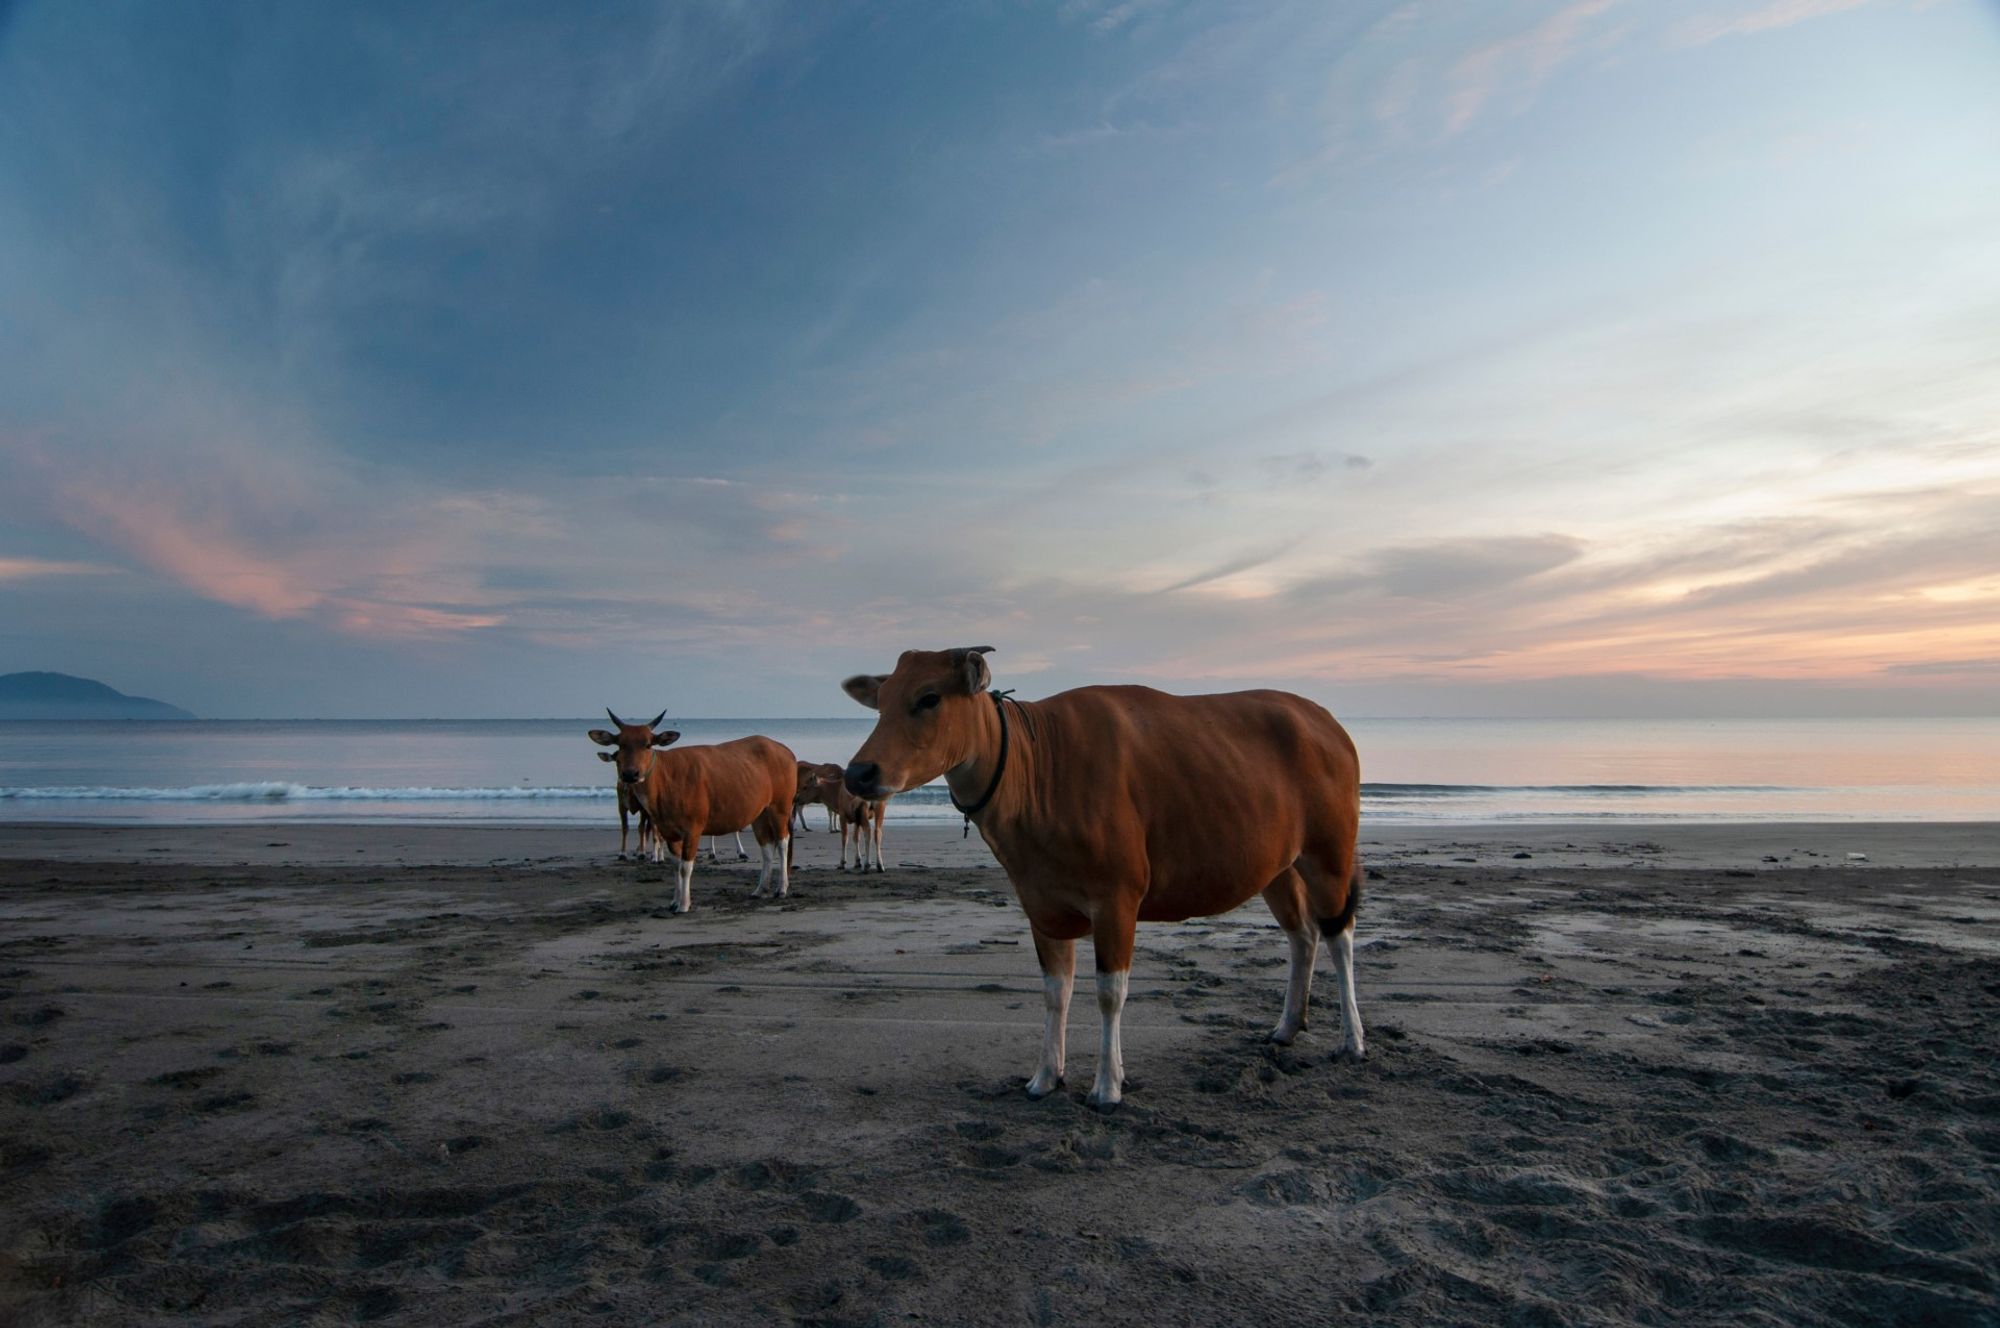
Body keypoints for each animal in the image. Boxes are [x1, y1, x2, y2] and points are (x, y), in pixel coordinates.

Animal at [584, 704, 796, 912]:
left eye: (648, 744)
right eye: (620, 745)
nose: (630, 774)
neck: (666, 779)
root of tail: (785, 751)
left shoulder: (693, 829)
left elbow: (686, 867)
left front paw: (684, 904)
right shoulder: (668, 832)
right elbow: (675, 866)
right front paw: (674, 900)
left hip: (780, 807)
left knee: (782, 842)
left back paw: (782, 888)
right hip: (760, 813)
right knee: (766, 847)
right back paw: (760, 889)